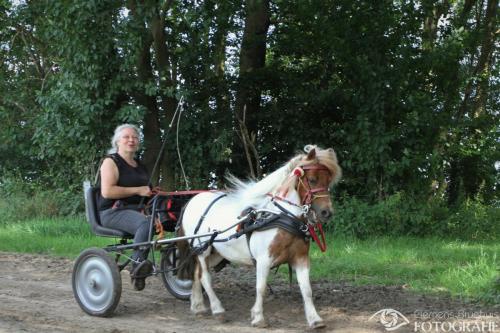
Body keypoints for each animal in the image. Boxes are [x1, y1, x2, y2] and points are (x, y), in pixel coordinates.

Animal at [175, 145, 340, 326]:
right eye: (312, 179)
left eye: (328, 180)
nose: (326, 212)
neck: (281, 217)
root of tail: (192, 200)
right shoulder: (263, 260)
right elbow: (261, 288)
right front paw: (258, 317)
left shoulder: (301, 258)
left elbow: (307, 289)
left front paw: (315, 319)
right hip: (202, 249)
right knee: (204, 276)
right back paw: (217, 309)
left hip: (215, 253)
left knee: (196, 273)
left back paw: (197, 306)